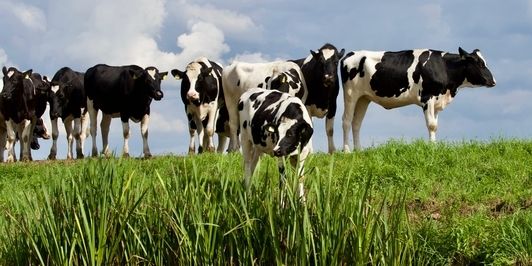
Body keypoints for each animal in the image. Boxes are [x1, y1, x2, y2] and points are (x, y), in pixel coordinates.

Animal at [338, 47, 496, 152]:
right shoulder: (427, 97)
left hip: (363, 98)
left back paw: (358, 150)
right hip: (351, 94)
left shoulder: (437, 101)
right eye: (479, 63)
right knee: (346, 121)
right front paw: (432, 148)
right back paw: (347, 151)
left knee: (356, 123)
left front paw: (434, 146)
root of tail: (350, 54)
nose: (493, 81)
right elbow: (431, 125)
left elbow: (435, 125)